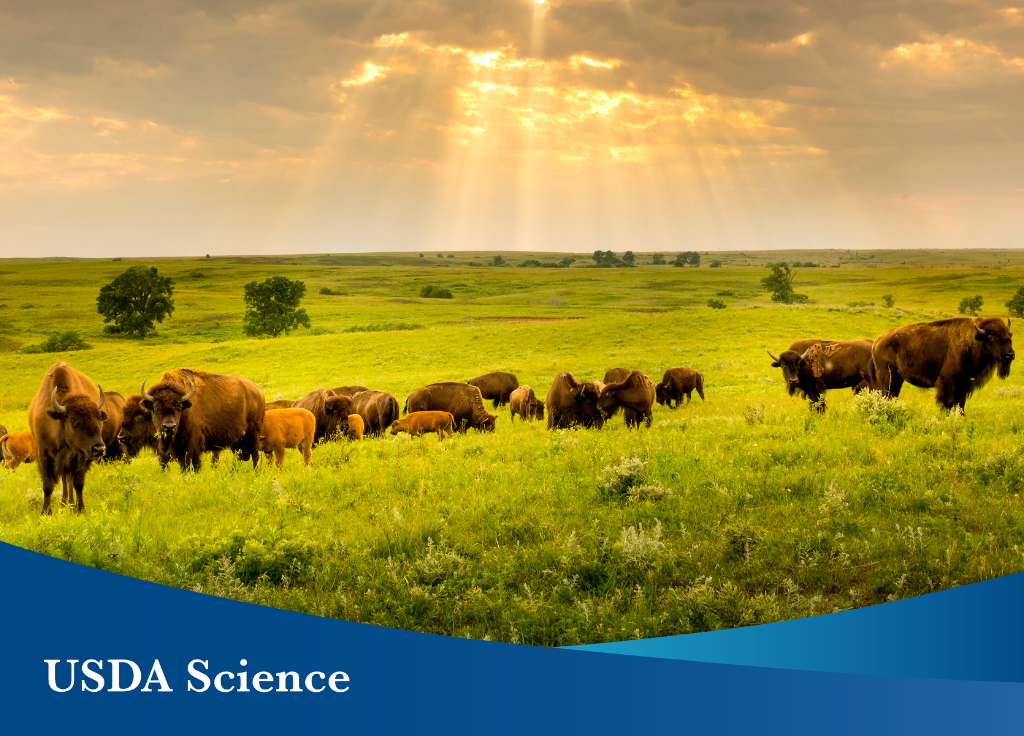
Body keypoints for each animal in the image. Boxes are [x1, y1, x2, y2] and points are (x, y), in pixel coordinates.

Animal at [28, 360, 107, 511]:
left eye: (99, 419)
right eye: (72, 420)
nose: (99, 449)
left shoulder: (80, 456)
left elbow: (78, 483)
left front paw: (80, 509)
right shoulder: (43, 453)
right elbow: (47, 486)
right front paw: (46, 512)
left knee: (69, 479)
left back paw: (69, 503)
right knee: (65, 478)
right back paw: (65, 503)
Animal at [872, 315, 1015, 411]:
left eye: (1009, 335)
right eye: (991, 337)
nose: (1010, 354)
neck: (973, 340)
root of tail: (877, 340)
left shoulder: (964, 385)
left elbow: (960, 404)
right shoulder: (948, 383)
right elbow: (947, 403)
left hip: (897, 378)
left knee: (892, 396)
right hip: (887, 377)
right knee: (886, 395)